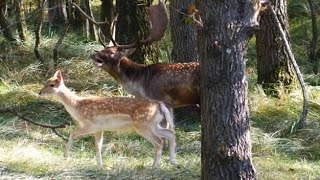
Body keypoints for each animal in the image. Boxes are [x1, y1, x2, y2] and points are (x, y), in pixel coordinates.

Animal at [38, 70, 178, 167]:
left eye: (51, 85)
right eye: (46, 82)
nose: (39, 92)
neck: (77, 106)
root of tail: (159, 105)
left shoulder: (90, 125)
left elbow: (72, 132)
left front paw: (66, 155)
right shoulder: (99, 129)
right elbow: (98, 145)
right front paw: (100, 165)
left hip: (144, 126)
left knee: (159, 141)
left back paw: (154, 166)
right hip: (153, 125)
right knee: (170, 133)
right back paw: (173, 161)